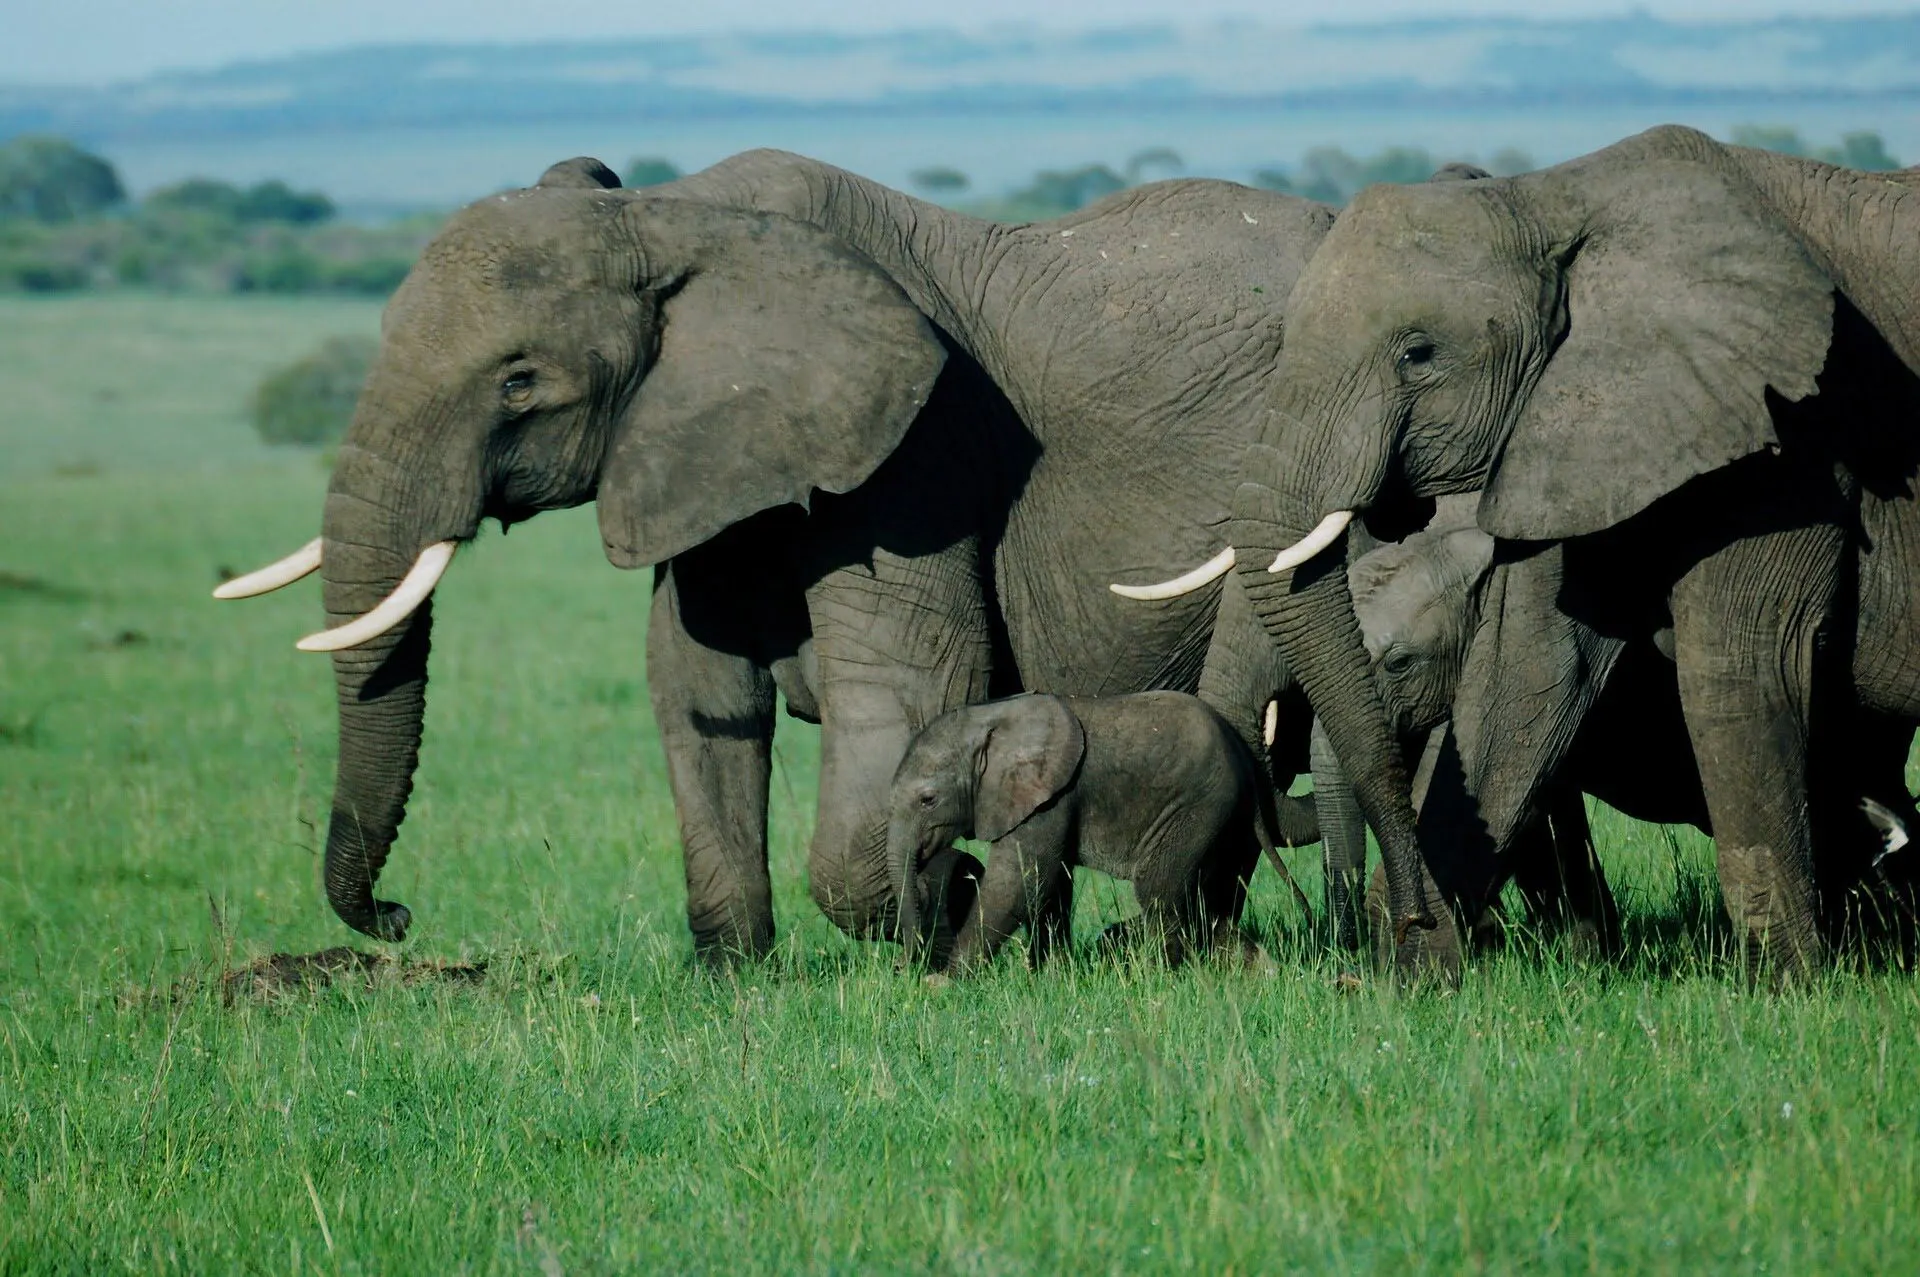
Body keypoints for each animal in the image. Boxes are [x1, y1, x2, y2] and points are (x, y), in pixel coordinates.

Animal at [889, 691, 1311, 973]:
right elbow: (1048, 884)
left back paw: (1164, 976)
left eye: (928, 800)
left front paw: (944, 982)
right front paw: (1050, 976)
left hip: (1197, 806)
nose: (906, 970)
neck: (989, 719)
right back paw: (1258, 970)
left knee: (1159, 889)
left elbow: (1018, 882)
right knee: (1200, 897)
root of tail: (1244, 758)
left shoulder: (1049, 799)